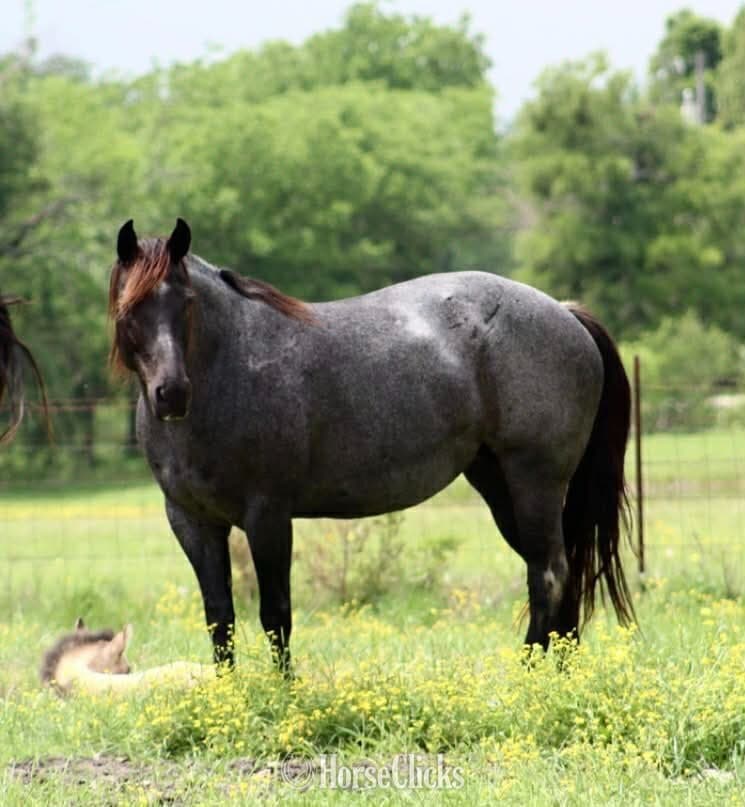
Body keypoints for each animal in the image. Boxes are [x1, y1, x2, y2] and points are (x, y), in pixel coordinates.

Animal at [109, 218, 634, 672]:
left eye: (186, 302)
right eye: (129, 308)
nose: (172, 393)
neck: (233, 366)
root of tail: (565, 312)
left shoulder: (268, 516)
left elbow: (276, 615)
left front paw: (283, 696)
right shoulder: (192, 522)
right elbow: (220, 618)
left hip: (535, 482)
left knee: (548, 574)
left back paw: (524, 677)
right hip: (497, 482)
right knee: (557, 573)